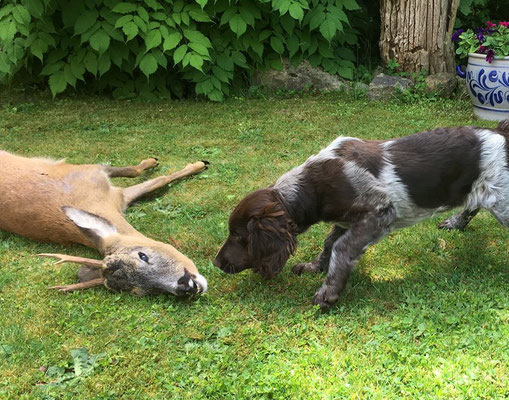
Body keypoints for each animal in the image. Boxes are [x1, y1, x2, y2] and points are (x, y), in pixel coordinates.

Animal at [0, 151, 208, 296]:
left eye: (142, 255)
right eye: (141, 292)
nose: (188, 286)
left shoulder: (91, 171)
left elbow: (142, 174)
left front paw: (197, 163)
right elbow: (157, 179)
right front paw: (198, 164)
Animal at [211, 119, 508, 310]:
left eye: (239, 237)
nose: (215, 263)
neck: (312, 185)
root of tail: (500, 133)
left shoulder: (380, 211)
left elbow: (340, 248)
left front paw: (328, 293)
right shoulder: (347, 220)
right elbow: (329, 243)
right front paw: (314, 267)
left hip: (501, 201)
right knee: (472, 204)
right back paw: (457, 222)